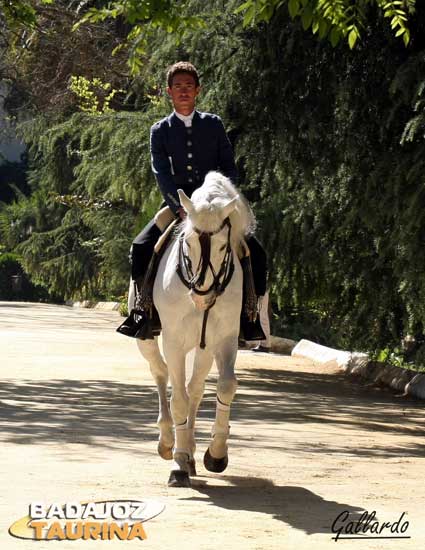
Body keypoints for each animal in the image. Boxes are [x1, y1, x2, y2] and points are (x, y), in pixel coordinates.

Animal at [131, 171, 253, 488]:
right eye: (187, 241)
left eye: (223, 245)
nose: (201, 296)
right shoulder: (173, 342)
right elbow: (178, 401)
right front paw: (178, 463)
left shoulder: (224, 340)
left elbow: (225, 386)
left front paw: (216, 453)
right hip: (147, 340)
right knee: (161, 375)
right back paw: (168, 442)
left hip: (204, 349)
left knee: (195, 388)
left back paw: (192, 452)